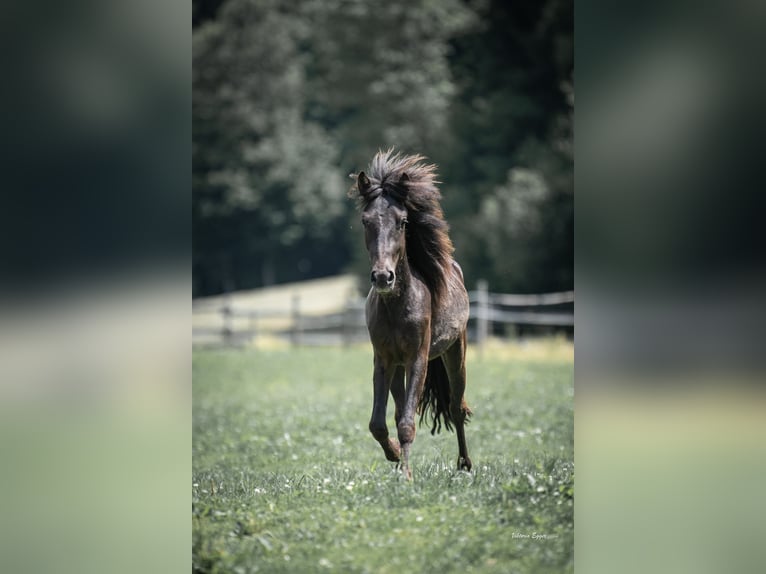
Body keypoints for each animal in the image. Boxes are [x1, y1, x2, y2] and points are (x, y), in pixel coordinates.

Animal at [349, 149, 473, 480]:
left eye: (403, 221)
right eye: (365, 221)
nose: (383, 277)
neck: (397, 306)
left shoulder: (418, 358)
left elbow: (407, 422)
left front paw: (406, 475)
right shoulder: (384, 360)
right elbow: (379, 423)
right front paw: (394, 458)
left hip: (455, 352)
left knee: (456, 407)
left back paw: (465, 465)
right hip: (399, 368)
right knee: (399, 409)